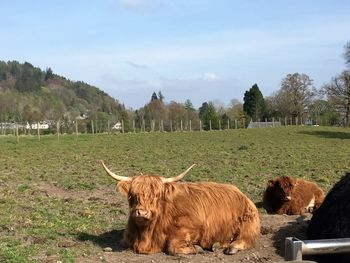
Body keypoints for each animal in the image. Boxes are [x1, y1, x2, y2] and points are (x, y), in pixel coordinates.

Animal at [101, 161, 260, 256]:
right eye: (133, 195)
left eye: (156, 195)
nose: (142, 212)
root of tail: (242, 194)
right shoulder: (128, 238)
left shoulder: (193, 228)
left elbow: (172, 246)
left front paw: (197, 248)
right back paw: (217, 245)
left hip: (247, 224)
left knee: (246, 239)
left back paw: (230, 247)